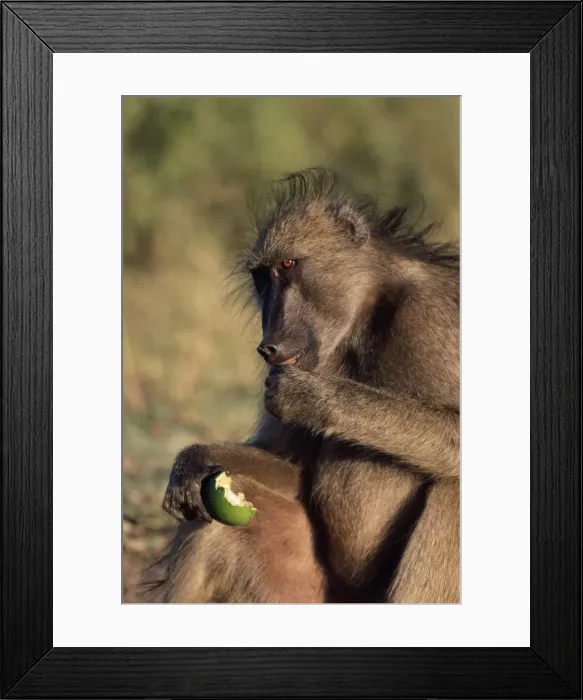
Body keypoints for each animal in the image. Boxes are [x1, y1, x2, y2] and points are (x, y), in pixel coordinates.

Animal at [149, 168, 459, 604]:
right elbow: (293, 469)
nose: (268, 345)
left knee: (452, 484)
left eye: (289, 264)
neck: (364, 317)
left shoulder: (432, 315)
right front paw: (193, 460)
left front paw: (311, 397)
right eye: (261, 277)